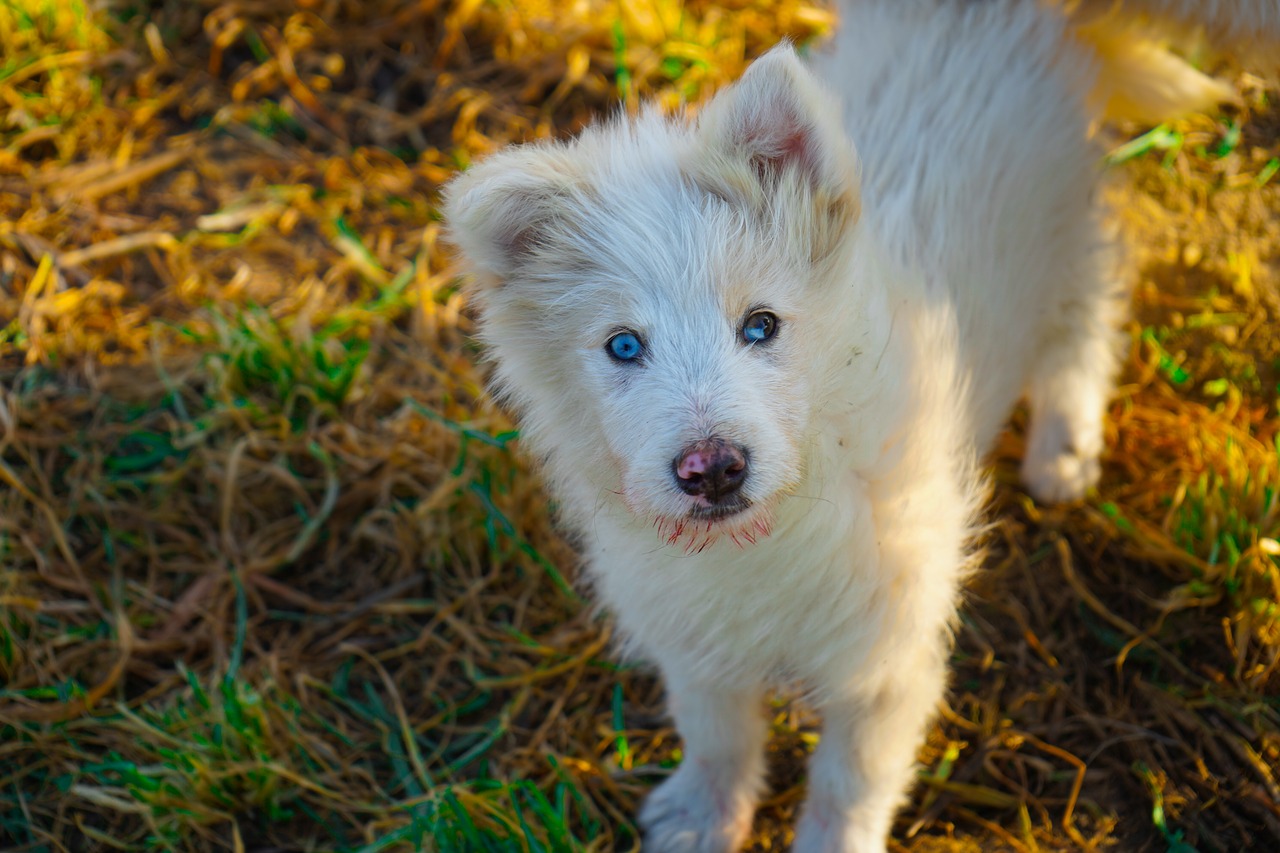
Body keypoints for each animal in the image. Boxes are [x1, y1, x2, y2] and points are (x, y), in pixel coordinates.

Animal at [442, 3, 1280, 845]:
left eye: (761, 324)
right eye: (622, 345)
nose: (713, 469)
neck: (774, 530)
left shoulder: (888, 659)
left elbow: (850, 782)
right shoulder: (694, 635)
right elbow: (716, 731)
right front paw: (702, 818)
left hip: (1065, 233)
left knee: (1088, 320)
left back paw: (1063, 452)